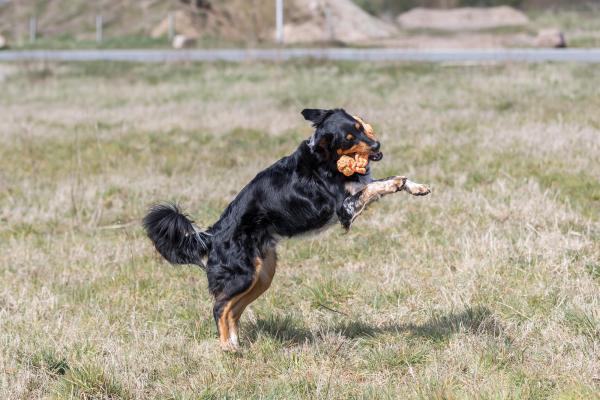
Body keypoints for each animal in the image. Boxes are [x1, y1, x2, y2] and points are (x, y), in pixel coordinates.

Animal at [143, 108, 428, 350]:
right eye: (348, 139)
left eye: (360, 127)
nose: (377, 146)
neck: (327, 158)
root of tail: (213, 234)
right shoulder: (345, 208)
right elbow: (374, 186)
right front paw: (396, 183)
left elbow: (381, 181)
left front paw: (416, 186)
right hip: (243, 275)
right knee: (219, 307)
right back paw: (227, 348)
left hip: (262, 276)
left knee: (232, 309)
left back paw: (236, 344)